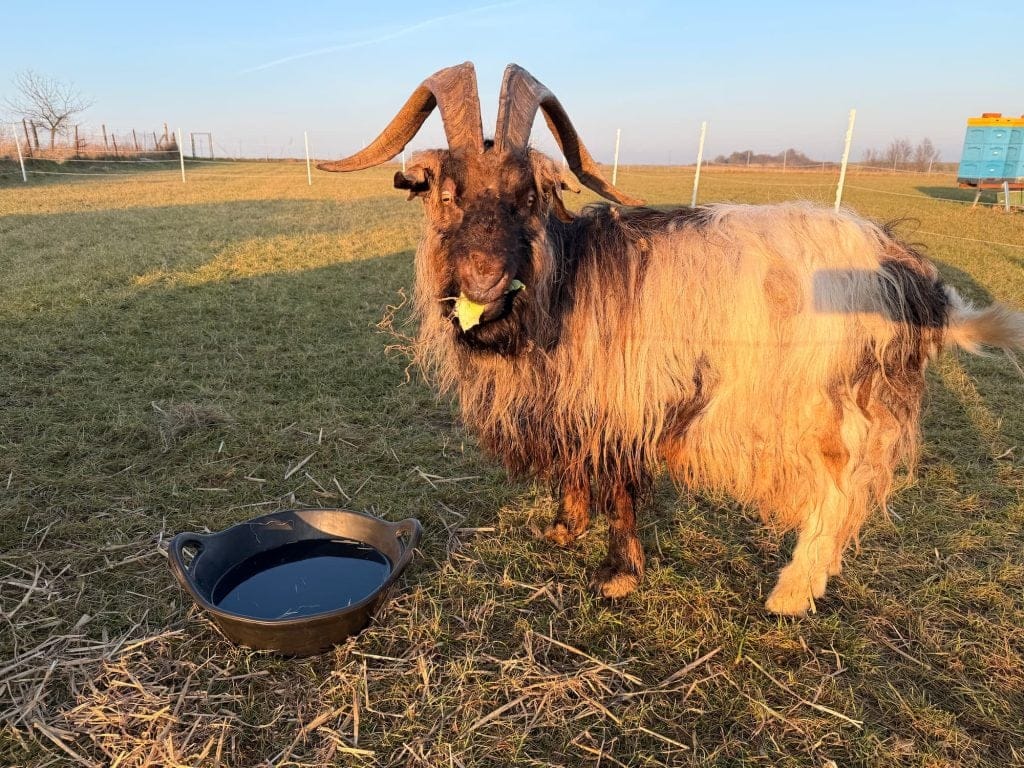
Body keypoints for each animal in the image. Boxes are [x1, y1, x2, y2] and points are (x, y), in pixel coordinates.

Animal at [319, 62, 1024, 615]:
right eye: (445, 191)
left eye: (528, 196)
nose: (484, 278)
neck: (563, 283)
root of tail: (916, 279)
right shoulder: (575, 406)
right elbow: (576, 470)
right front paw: (564, 529)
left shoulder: (623, 404)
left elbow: (620, 489)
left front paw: (617, 576)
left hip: (829, 409)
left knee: (838, 497)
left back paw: (791, 593)